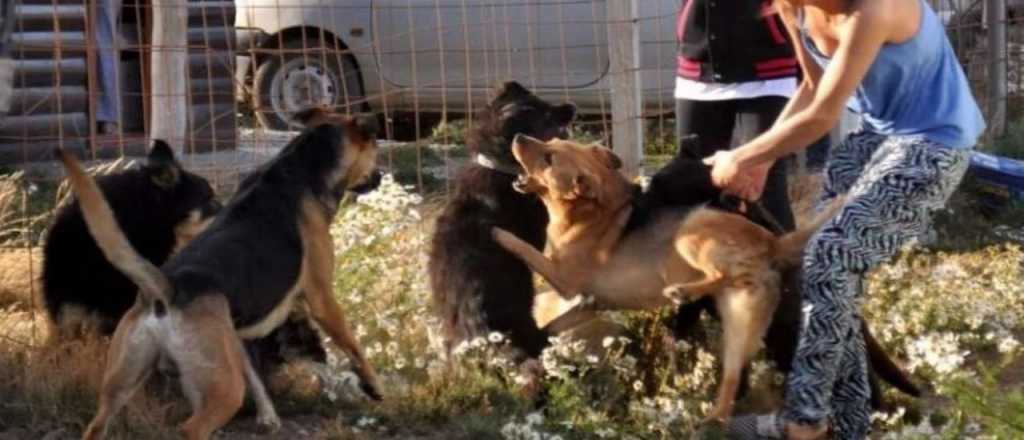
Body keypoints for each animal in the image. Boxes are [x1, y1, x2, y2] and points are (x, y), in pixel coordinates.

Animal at [60, 106, 387, 440]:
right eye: (375, 148)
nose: (380, 176)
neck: (300, 167)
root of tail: (167, 289)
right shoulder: (322, 300)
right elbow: (353, 346)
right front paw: (373, 386)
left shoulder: (238, 333)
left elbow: (257, 378)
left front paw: (269, 417)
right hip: (223, 391)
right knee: (191, 428)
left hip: (122, 384)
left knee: (98, 423)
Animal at [491, 135, 843, 423]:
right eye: (550, 140)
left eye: (549, 157)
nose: (518, 136)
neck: (587, 214)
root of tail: (773, 242)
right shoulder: (588, 303)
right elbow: (553, 326)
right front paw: (537, 341)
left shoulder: (564, 280)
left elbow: (527, 249)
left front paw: (499, 233)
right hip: (739, 321)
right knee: (730, 381)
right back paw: (711, 417)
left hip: (691, 228)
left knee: (721, 273)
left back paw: (683, 291)